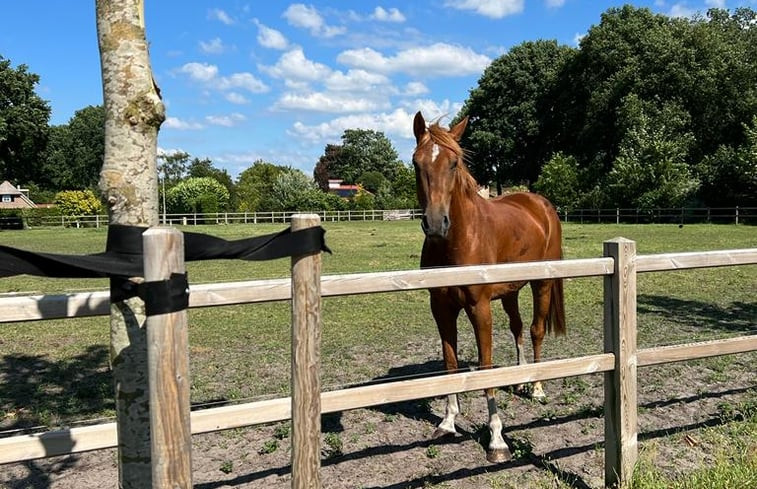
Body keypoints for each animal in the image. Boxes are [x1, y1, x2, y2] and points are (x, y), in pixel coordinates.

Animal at [410, 112, 564, 464]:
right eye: (416, 163)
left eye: (454, 163)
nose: (435, 224)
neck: (458, 241)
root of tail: (539, 203)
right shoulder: (441, 309)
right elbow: (450, 364)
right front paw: (448, 421)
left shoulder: (479, 308)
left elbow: (486, 367)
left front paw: (496, 439)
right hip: (511, 291)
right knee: (518, 327)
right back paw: (520, 381)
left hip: (542, 284)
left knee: (535, 330)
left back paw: (536, 387)